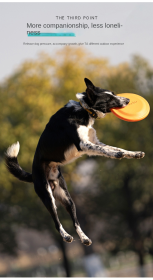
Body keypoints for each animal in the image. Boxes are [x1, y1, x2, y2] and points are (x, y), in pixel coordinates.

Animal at [4, 77, 145, 246]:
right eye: (109, 98)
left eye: (114, 93)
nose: (129, 100)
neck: (84, 110)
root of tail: (33, 173)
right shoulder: (83, 144)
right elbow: (108, 150)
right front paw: (118, 154)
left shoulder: (93, 143)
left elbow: (114, 148)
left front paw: (134, 154)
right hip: (48, 195)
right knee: (56, 222)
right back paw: (66, 236)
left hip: (67, 199)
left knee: (75, 221)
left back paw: (84, 238)